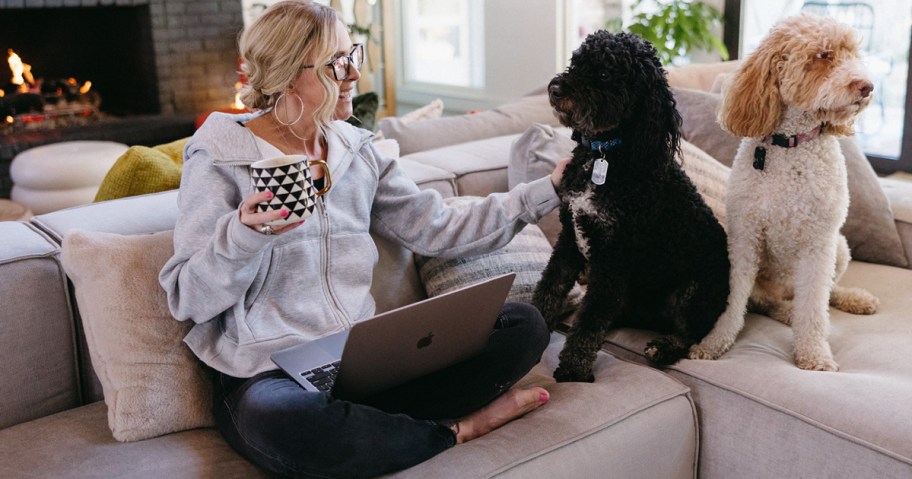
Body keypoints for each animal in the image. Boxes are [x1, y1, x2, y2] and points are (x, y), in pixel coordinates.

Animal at [532, 31, 732, 382]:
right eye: (576, 62)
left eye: (604, 73)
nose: (554, 89)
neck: (605, 155)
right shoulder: (570, 238)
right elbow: (550, 287)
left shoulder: (614, 256)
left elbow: (591, 319)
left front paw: (573, 369)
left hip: (695, 290)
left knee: (691, 333)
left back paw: (664, 347)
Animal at [692, 14, 884, 372]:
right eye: (823, 55)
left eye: (852, 54)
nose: (867, 87)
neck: (791, 144)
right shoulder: (745, 239)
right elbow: (733, 301)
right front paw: (714, 343)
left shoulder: (819, 244)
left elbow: (815, 308)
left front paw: (814, 354)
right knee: (768, 303)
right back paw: (785, 312)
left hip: (839, 247)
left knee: (824, 293)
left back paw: (851, 298)